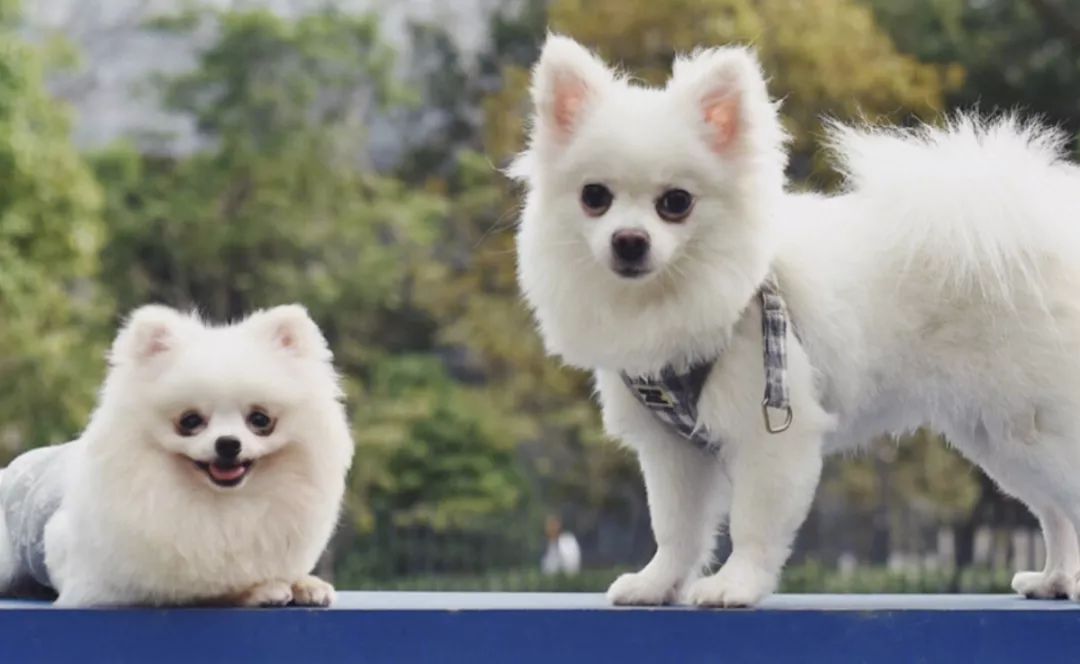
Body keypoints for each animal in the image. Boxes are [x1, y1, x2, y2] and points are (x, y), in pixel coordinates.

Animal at [0, 306, 354, 608]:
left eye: (260, 420)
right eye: (190, 421)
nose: (228, 444)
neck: (224, 505)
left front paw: (304, 582)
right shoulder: (96, 581)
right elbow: (197, 588)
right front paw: (256, 589)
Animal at [509, 36, 1080, 608]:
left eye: (676, 203)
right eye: (594, 197)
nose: (629, 240)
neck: (671, 296)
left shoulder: (773, 431)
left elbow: (751, 526)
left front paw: (735, 585)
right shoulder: (673, 449)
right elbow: (676, 529)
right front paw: (657, 583)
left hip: (1032, 427)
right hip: (1001, 440)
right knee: (1056, 513)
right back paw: (1055, 579)